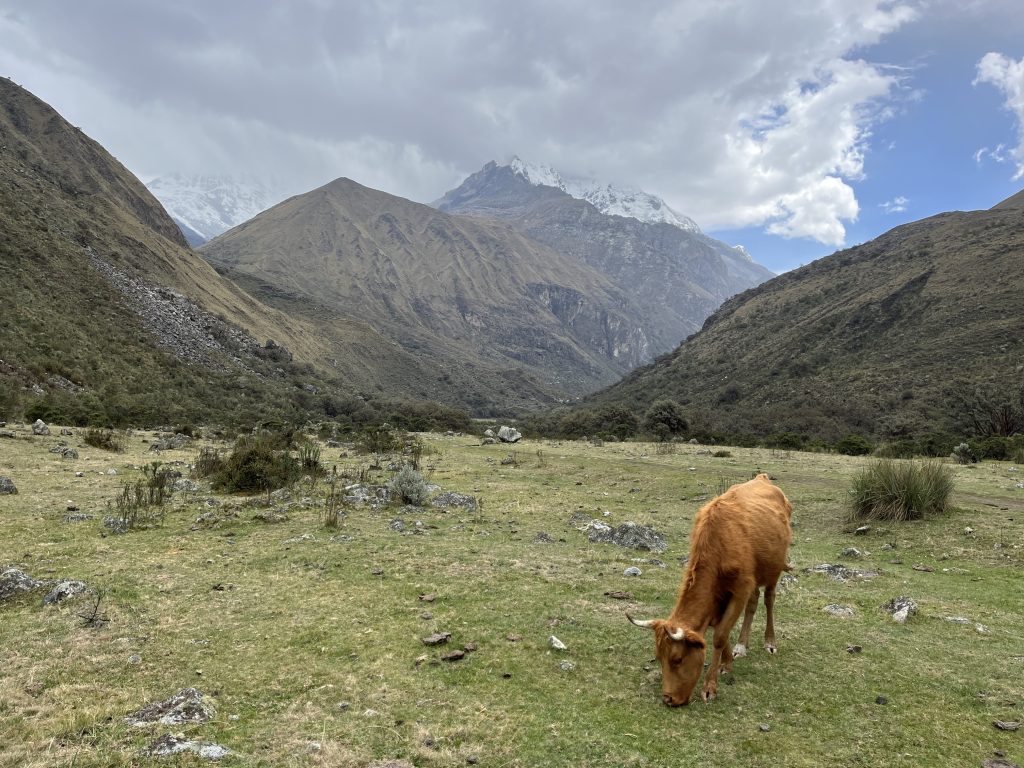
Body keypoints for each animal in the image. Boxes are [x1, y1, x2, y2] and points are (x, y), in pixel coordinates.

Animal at [622, 475, 790, 708]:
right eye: (659, 657)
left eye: (677, 659)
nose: (668, 698)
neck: (720, 544)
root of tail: (762, 478)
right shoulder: (721, 595)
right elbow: (722, 629)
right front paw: (726, 663)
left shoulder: (740, 589)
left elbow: (720, 635)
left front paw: (710, 687)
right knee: (754, 602)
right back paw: (741, 646)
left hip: (774, 570)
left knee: (769, 599)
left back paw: (770, 642)